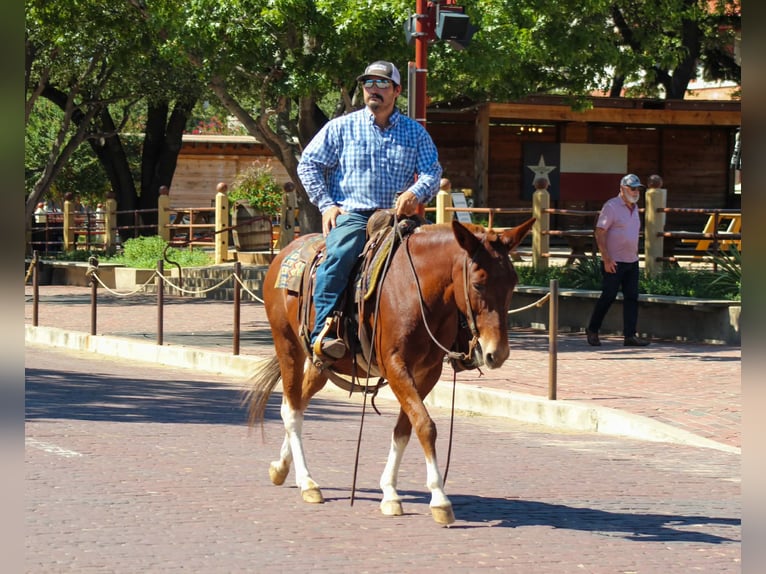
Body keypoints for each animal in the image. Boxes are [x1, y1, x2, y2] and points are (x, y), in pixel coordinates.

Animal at [245, 216, 535, 524]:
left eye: (513, 282)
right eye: (478, 284)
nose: (497, 353)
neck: (415, 290)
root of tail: (285, 252)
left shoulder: (427, 373)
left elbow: (405, 428)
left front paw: (390, 493)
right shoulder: (396, 366)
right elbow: (425, 425)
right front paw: (439, 499)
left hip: (320, 364)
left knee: (299, 405)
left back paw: (281, 467)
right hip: (287, 344)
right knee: (290, 411)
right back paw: (308, 482)